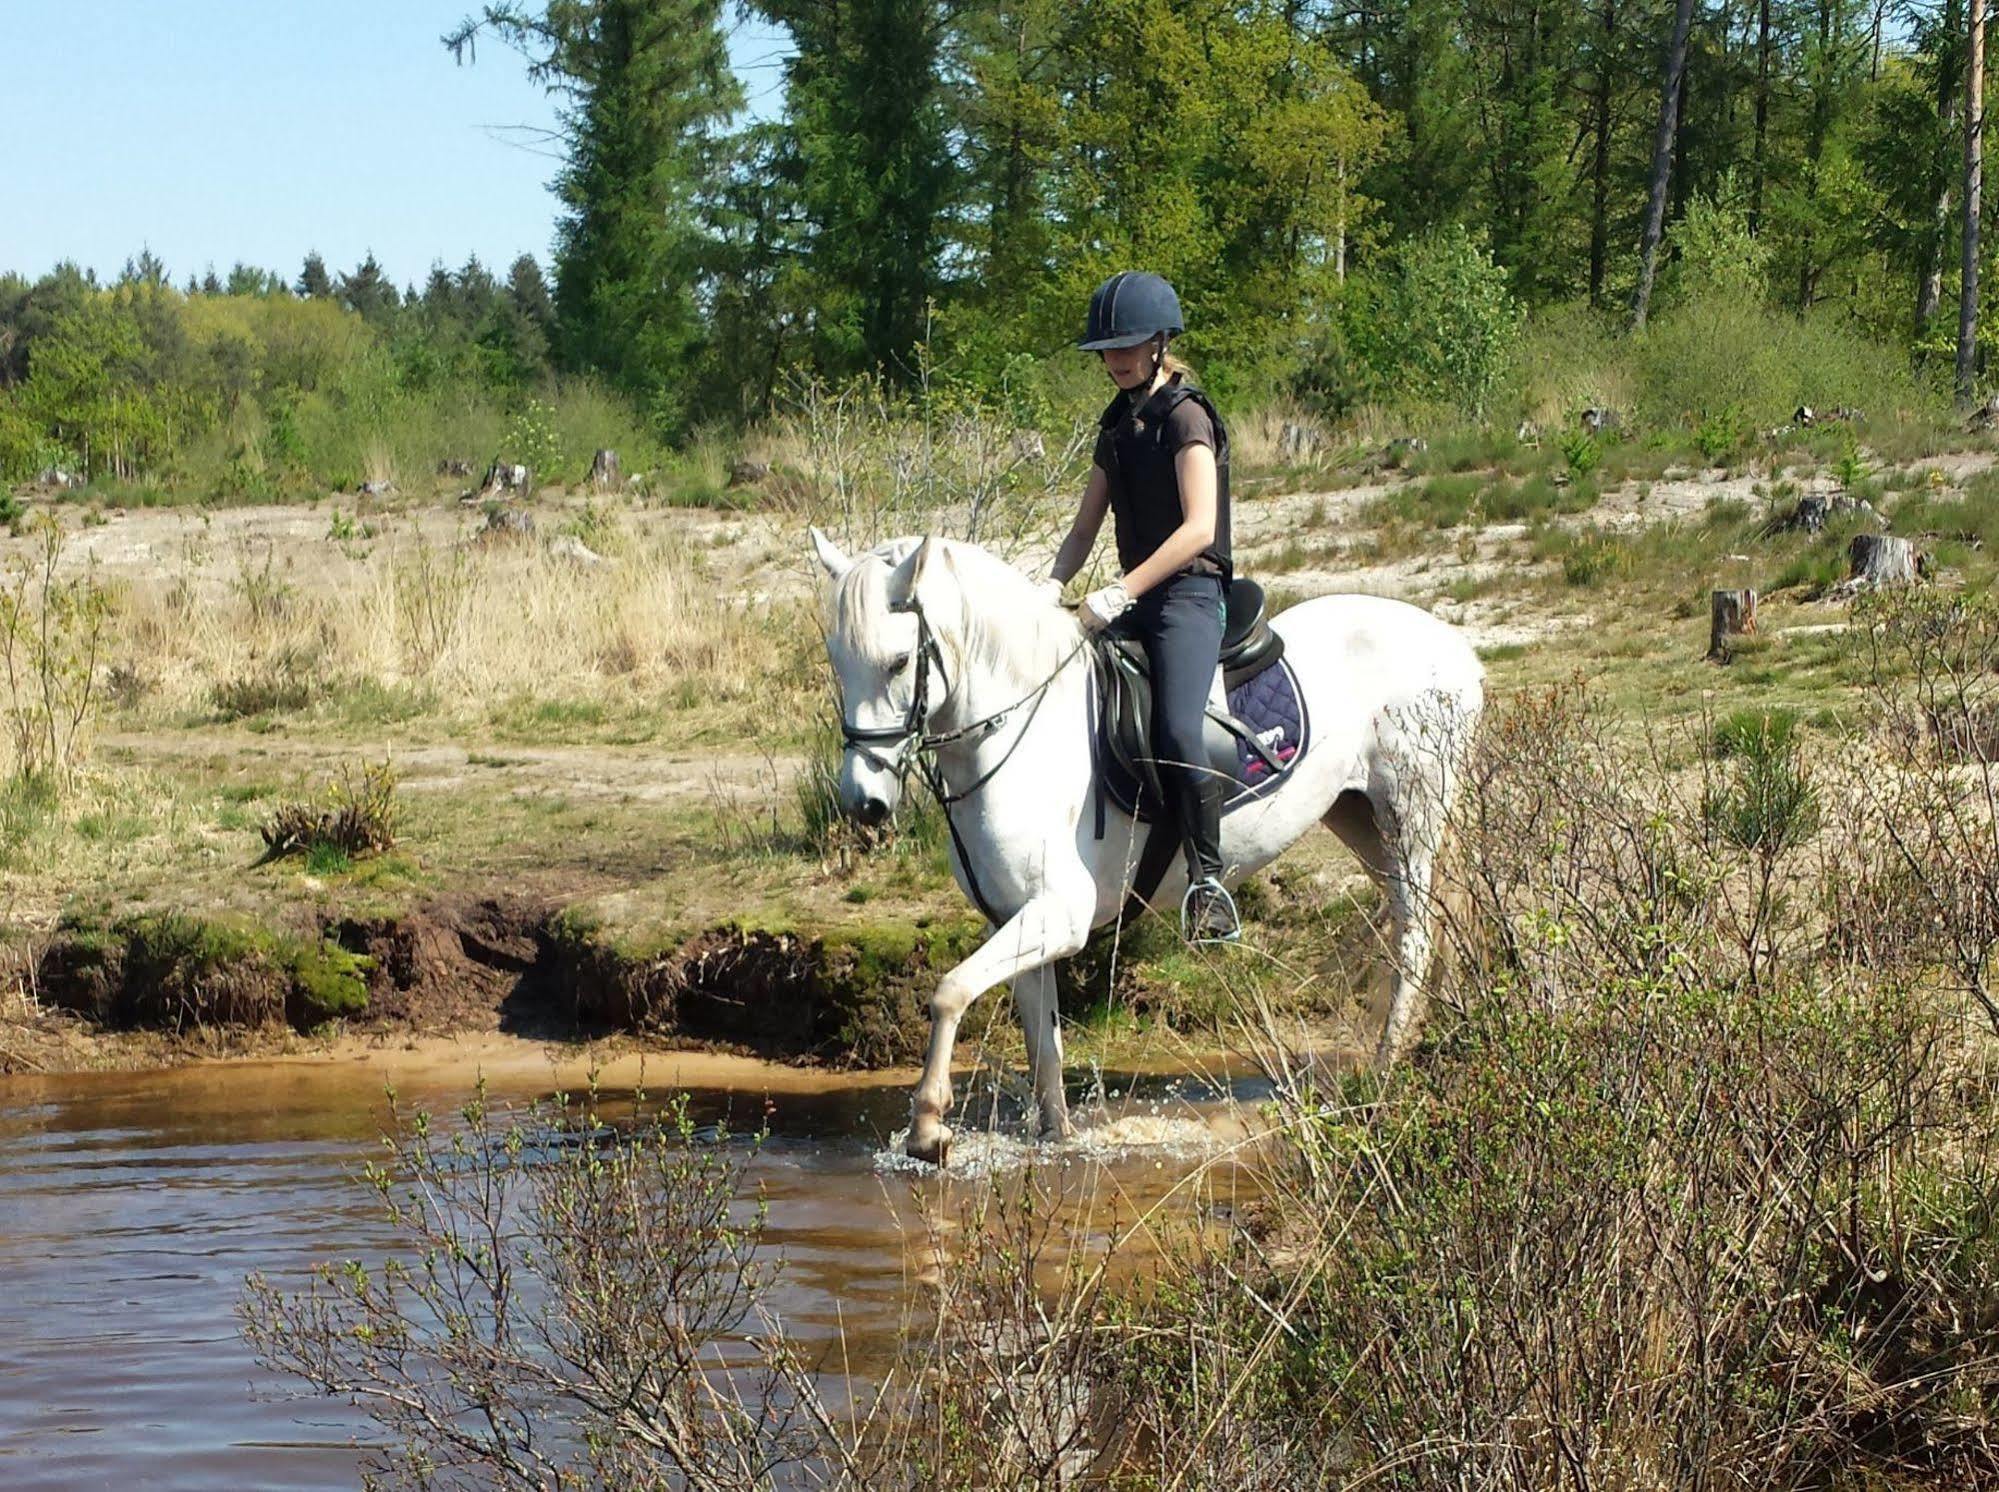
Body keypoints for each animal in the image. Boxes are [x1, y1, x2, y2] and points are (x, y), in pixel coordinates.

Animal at [803, 528, 1479, 1160]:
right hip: (1361, 817)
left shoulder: (1061, 914)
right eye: (838, 659)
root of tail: (1455, 646)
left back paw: (1385, 1071)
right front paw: (1057, 1140)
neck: (1015, 738)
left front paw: (927, 1126)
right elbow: (1042, 1048)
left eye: (898, 661)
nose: (864, 802)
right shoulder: (1018, 917)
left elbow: (948, 991)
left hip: (1415, 812)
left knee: (1417, 937)